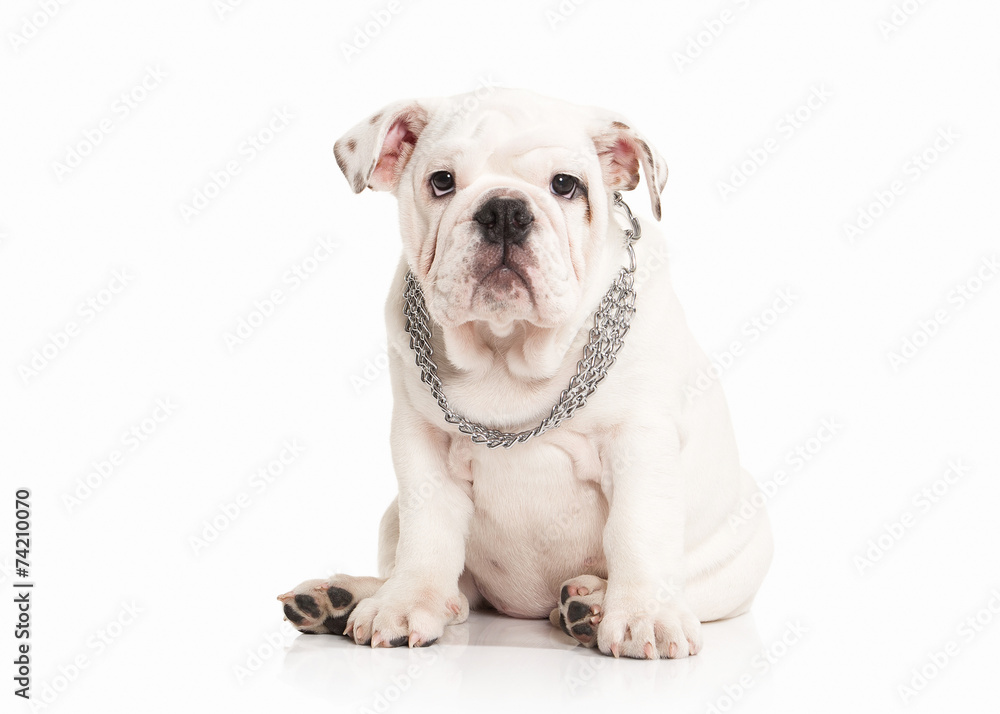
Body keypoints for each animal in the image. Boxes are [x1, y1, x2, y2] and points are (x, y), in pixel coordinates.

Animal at [280, 87, 772, 656]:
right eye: (442, 181)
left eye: (565, 185)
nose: (504, 210)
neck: (506, 347)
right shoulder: (419, 439)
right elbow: (428, 533)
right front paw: (404, 602)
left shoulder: (639, 440)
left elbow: (638, 528)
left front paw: (643, 615)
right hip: (391, 518)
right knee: (453, 589)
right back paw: (341, 598)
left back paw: (590, 605)